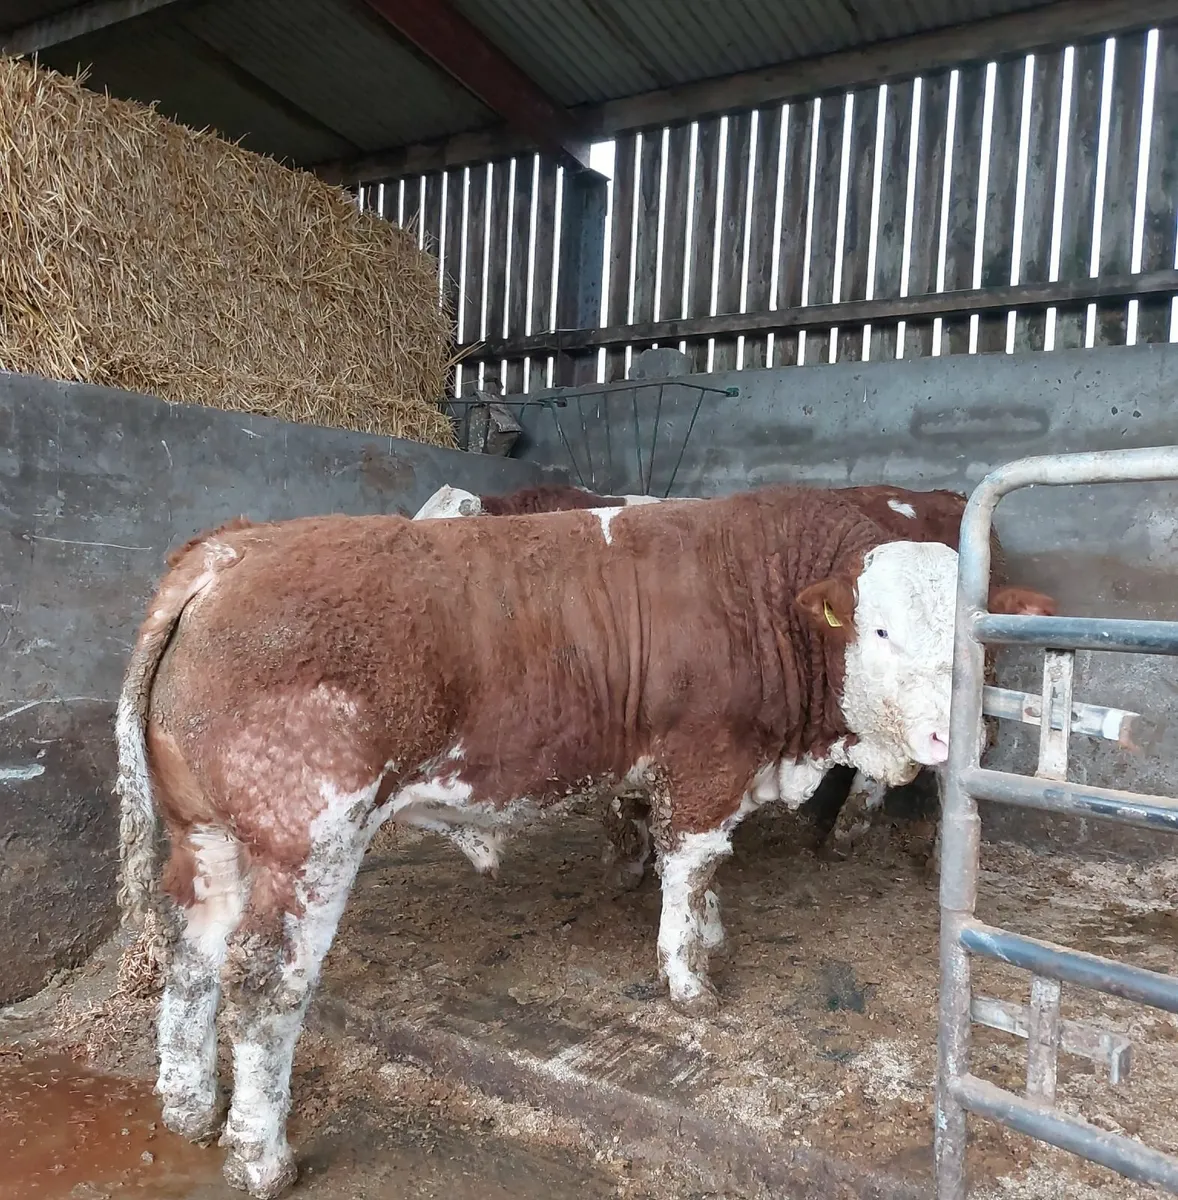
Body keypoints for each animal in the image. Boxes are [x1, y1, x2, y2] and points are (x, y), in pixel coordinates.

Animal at [115, 486, 1050, 1198]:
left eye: (971, 643)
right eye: (881, 632)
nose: (950, 736)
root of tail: (237, 547)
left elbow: (704, 873)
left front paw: (709, 936)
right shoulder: (705, 763)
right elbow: (692, 865)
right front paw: (688, 977)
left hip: (208, 836)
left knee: (193, 952)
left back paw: (188, 1106)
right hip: (307, 839)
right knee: (266, 983)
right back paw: (260, 1156)